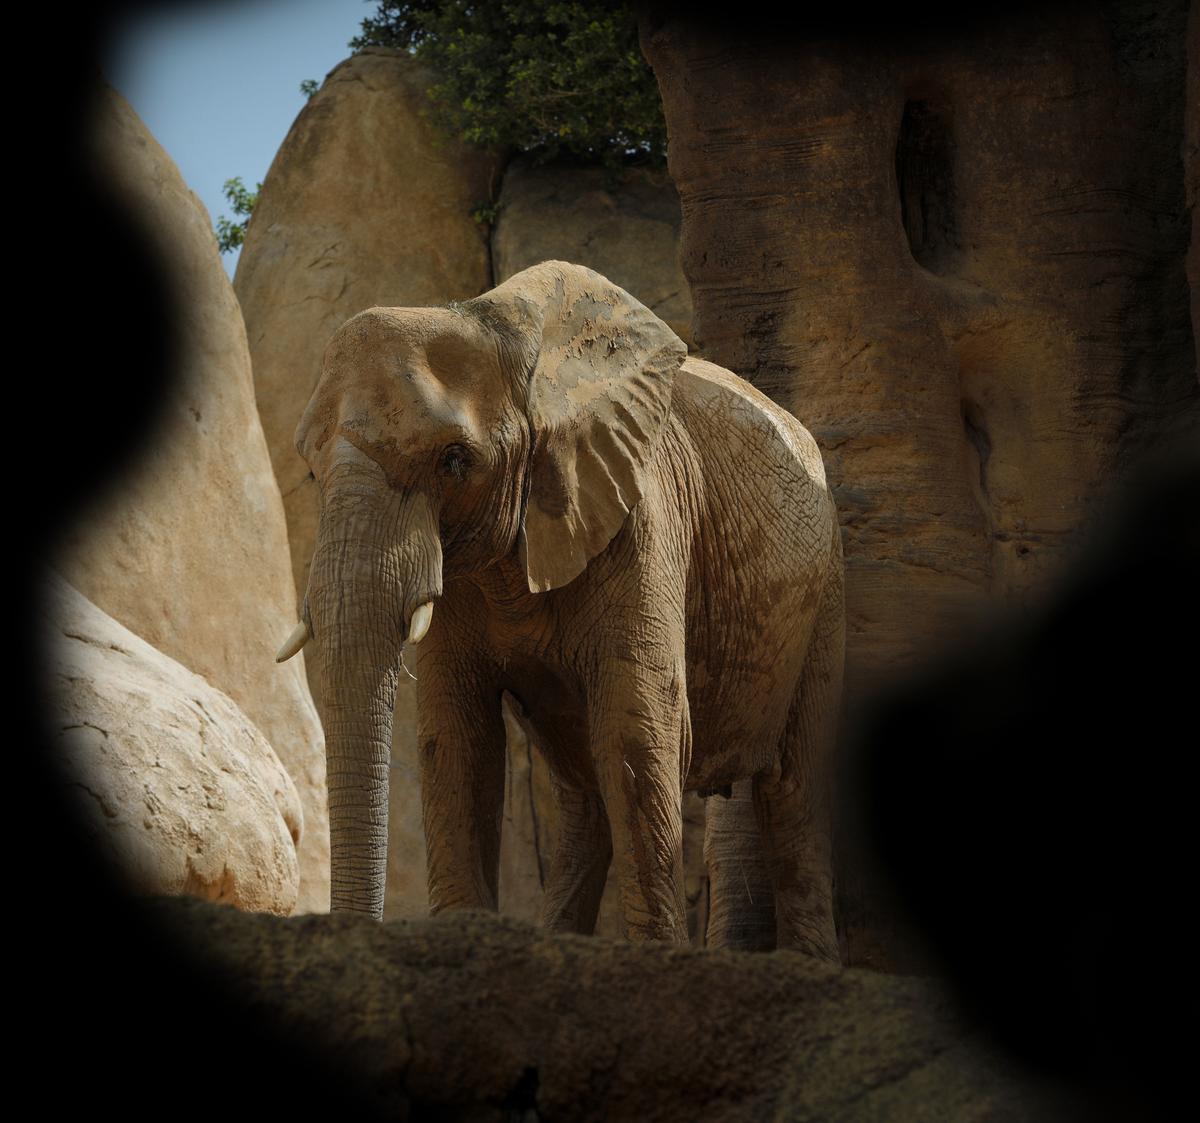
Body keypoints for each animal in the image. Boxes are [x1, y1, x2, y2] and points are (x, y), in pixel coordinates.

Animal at [278, 262, 844, 955]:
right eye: (310, 470)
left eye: (455, 461)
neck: (498, 328)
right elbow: (458, 738)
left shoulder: (641, 514)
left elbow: (636, 732)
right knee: (584, 789)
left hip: (825, 590)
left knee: (794, 788)